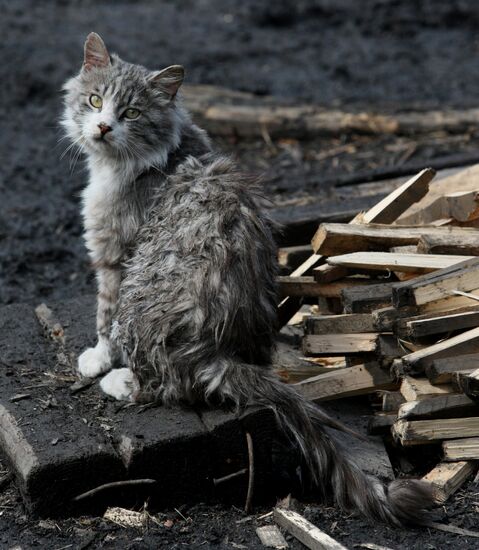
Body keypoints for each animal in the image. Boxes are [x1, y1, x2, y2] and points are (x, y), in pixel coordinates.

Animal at [62, 33, 434, 528]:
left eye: (132, 114)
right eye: (94, 100)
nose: (103, 127)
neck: (154, 158)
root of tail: (219, 352)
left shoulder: (115, 255)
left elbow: (104, 316)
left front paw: (98, 360)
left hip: (142, 300)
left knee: (169, 387)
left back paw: (122, 382)